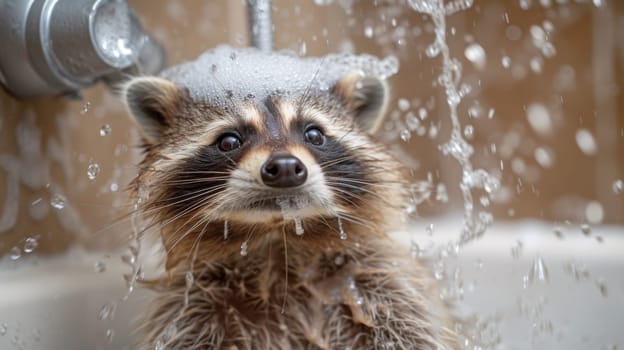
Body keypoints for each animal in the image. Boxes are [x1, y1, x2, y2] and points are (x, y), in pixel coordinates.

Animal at [122, 47, 456, 350]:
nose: (284, 167)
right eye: (229, 141)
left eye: (314, 135)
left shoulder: (384, 291)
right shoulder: (191, 309)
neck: (277, 243)